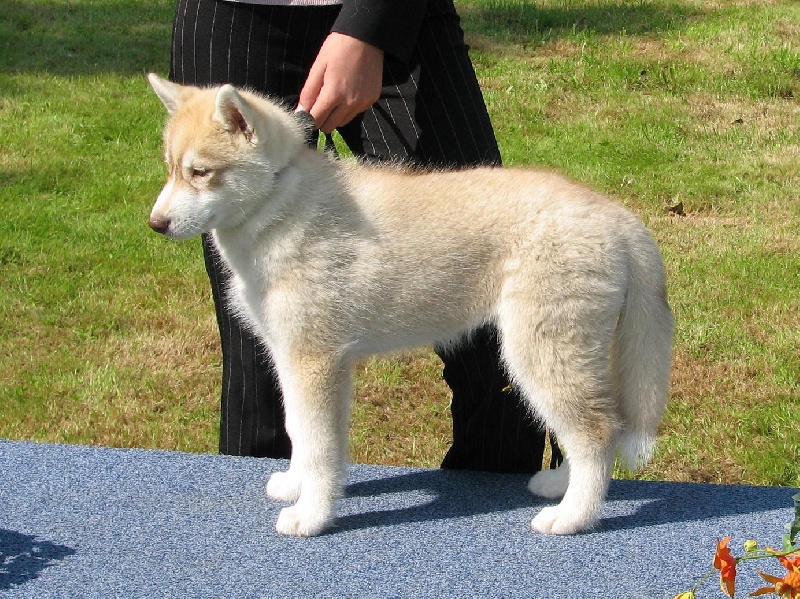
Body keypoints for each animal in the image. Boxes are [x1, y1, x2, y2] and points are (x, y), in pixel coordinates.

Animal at [145, 72, 676, 536]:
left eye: (200, 173)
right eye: (170, 169)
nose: (155, 224)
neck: (283, 203)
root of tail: (615, 215)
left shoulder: (315, 360)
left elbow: (318, 447)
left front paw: (311, 516)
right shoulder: (294, 356)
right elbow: (300, 431)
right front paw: (297, 486)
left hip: (541, 350)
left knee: (596, 432)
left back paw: (573, 517)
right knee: (591, 430)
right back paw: (559, 488)